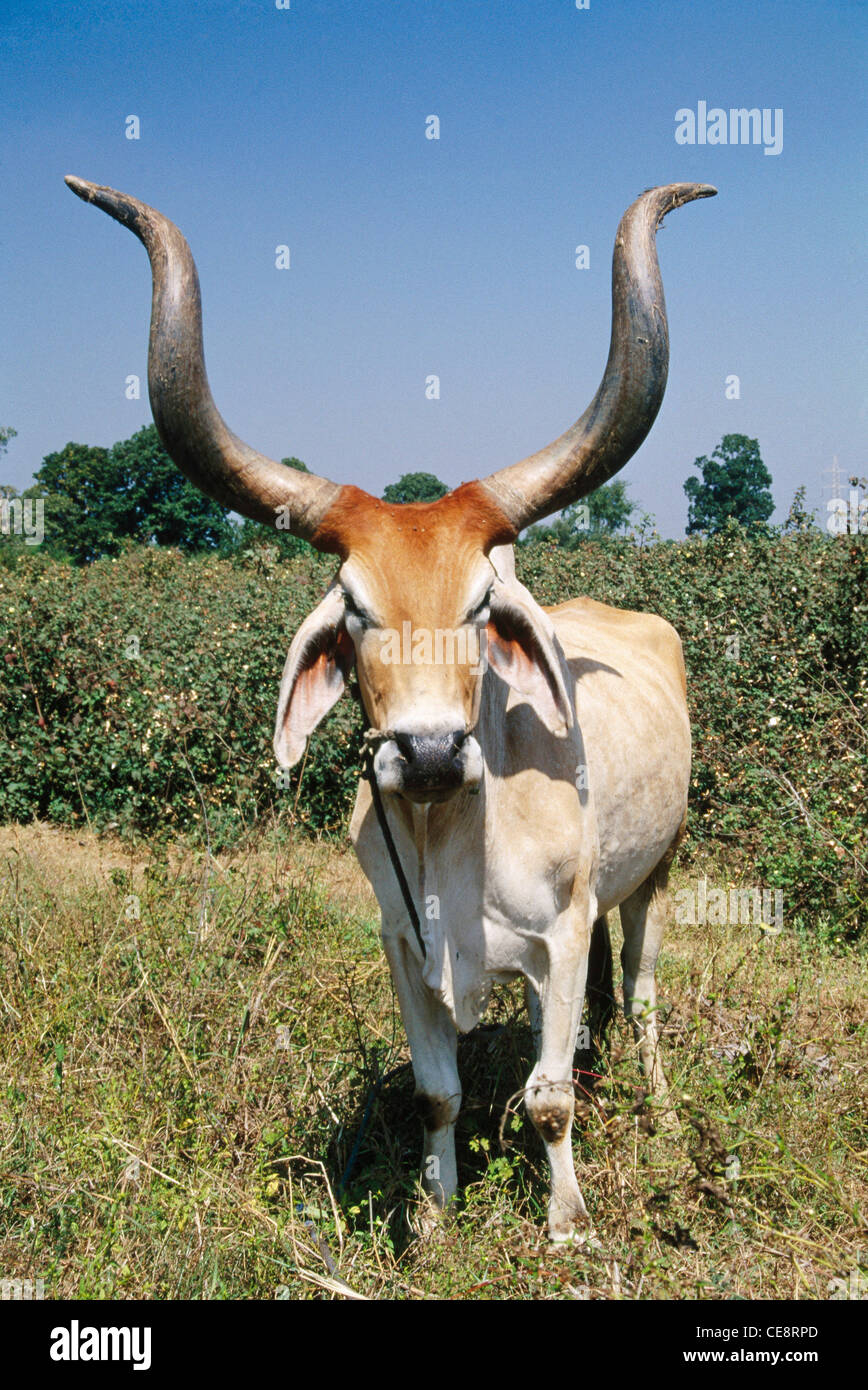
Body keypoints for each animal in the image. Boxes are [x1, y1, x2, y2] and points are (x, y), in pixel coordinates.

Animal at [67, 168, 717, 1245]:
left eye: (481, 604)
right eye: (357, 609)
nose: (427, 754)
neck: (455, 833)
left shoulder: (563, 929)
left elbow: (546, 1100)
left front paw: (568, 1224)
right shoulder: (404, 951)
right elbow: (437, 1093)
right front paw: (437, 1216)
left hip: (653, 877)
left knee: (642, 993)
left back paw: (659, 1108)